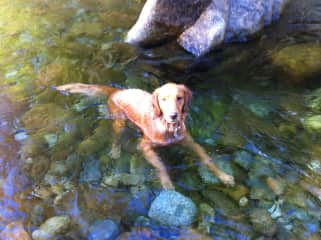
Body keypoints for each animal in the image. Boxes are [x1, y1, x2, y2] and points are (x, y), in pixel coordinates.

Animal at [56, 83, 234, 189]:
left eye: (179, 98)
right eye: (163, 99)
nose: (173, 115)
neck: (168, 128)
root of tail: (117, 91)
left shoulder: (190, 142)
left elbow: (207, 159)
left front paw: (224, 176)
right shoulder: (144, 146)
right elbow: (161, 166)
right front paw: (167, 185)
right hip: (119, 121)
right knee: (115, 136)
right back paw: (115, 151)